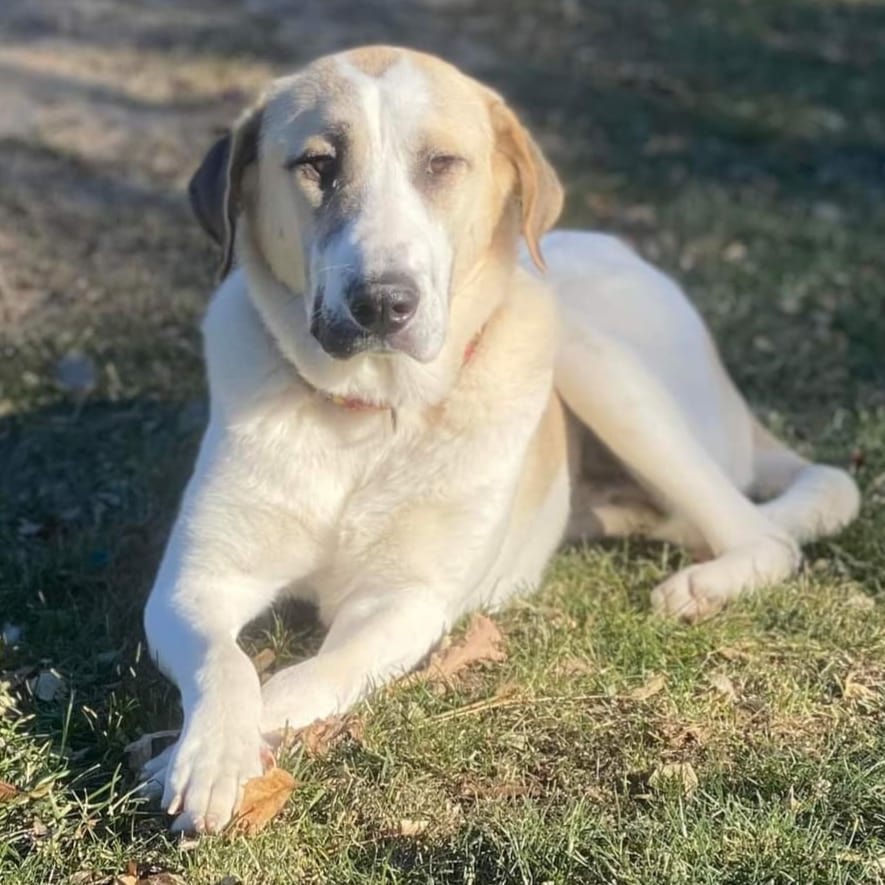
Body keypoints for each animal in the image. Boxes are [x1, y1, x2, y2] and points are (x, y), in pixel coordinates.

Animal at [142, 45, 860, 832]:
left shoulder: (402, 602)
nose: (383, 303)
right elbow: (227, 663)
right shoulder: (194, 583)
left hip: (589, 354)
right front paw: (209, 752)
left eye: (441, 163)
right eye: (317, 163)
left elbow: (297, 680)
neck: (369, 416)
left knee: (763, 535)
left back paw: (700, 584)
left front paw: (181, 756)